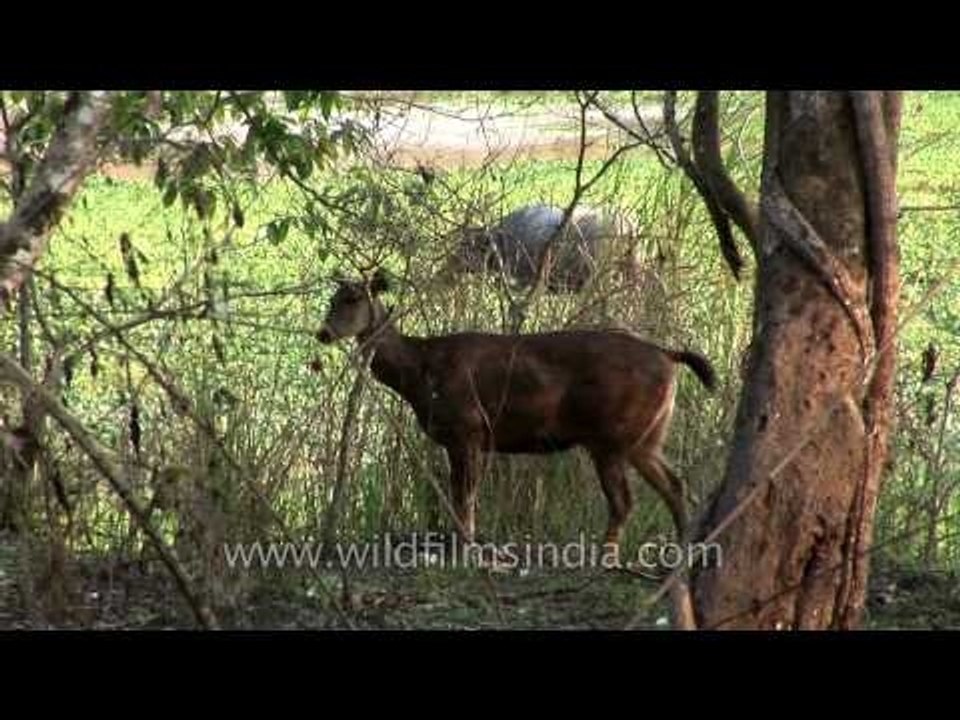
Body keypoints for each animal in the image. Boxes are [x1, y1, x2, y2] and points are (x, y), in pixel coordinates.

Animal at [316, 268, 716, 559]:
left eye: (353, 298)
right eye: (332, 299)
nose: (323, 333)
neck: (420, 373)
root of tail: (668, 355)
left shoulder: (469, 428)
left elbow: (465, 496)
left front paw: (467, 551)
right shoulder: (460, 439)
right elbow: (459, 495)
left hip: (611, 435)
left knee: (624, 501)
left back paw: (606, 559)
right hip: (646, 435)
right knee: (674, 484)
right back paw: (682, 552)